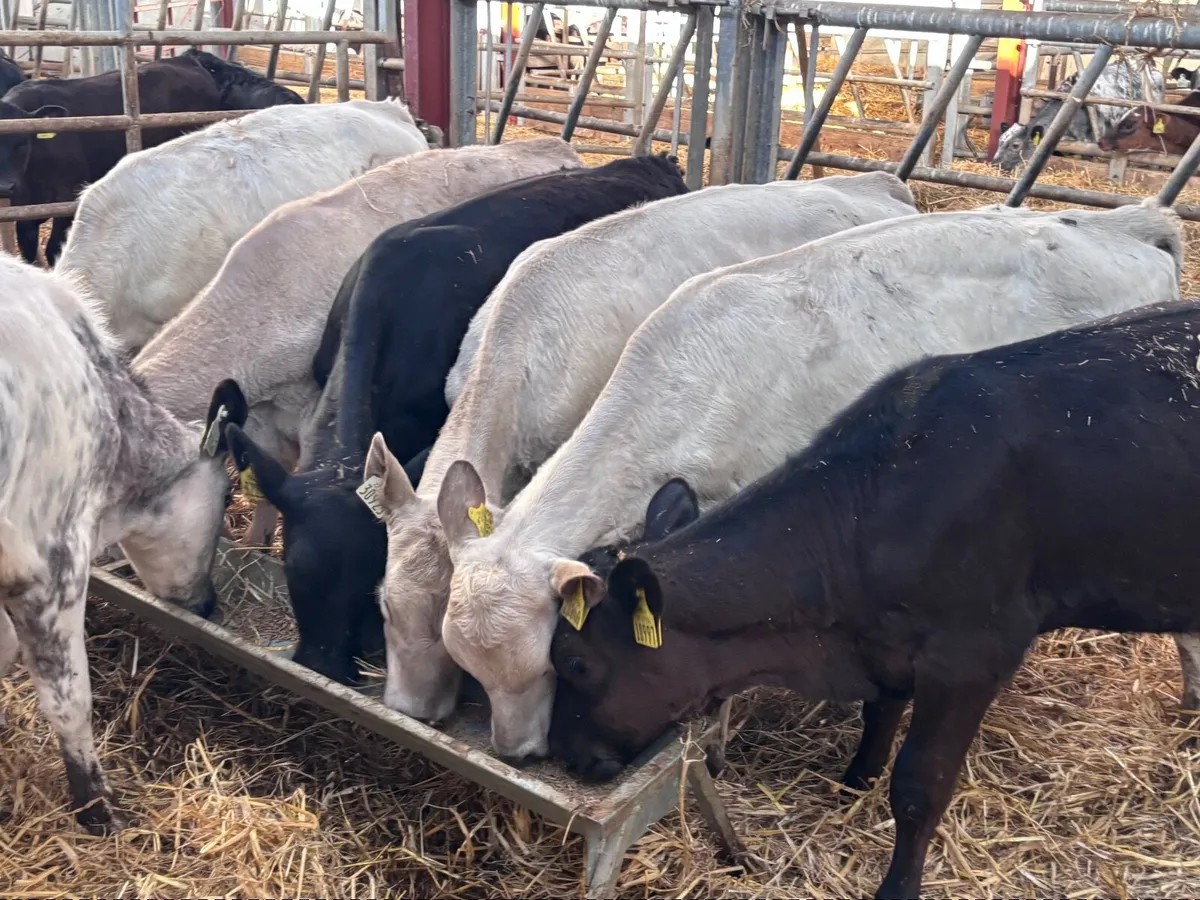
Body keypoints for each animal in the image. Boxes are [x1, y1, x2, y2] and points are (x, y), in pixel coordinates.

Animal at [547, 299, 1200, 900]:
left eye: (574, 662)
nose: (560, 753)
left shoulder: (970, 656)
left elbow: (919, 787)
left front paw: (898, 883)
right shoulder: (885, 642)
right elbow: (879, 711)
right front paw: (856, 778)